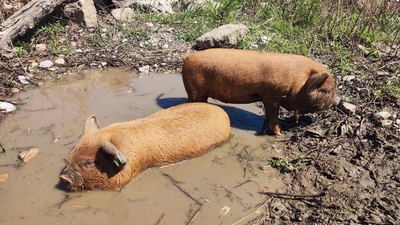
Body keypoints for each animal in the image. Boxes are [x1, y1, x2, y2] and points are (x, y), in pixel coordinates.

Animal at [183, 48, 340, 134]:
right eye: (326, 91)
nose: (338, 100)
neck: (296, 83)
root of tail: (187, 57)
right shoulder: (272, 94)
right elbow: (274, 114)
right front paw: (280, 133)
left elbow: (269, 113)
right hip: (194, 89)